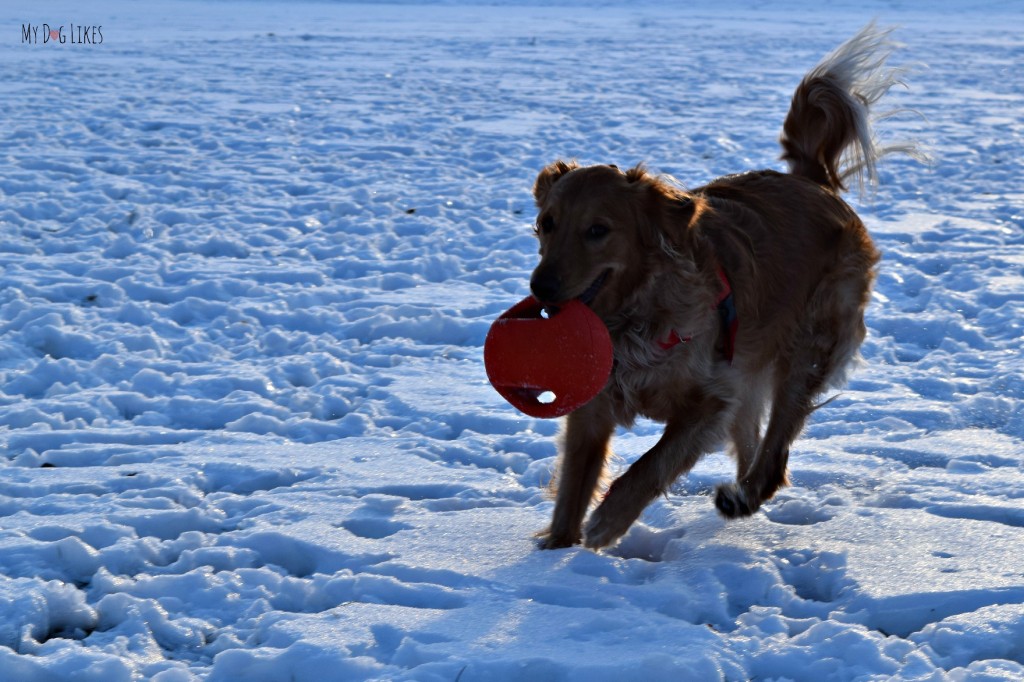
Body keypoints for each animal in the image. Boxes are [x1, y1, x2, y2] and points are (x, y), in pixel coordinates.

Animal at [532, 23, 917, 548]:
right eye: (547, 223)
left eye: (598, 230)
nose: (541, 287)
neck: (635, 313)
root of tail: (813, 182)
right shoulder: (595, 409)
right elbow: (573, 489)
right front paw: (554, 555)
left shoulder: (711, 401)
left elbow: (649, 466)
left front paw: (607, 524)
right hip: (752, 369)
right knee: (755, 443)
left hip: (807, 349)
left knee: (775, 456)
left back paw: (745, 497)